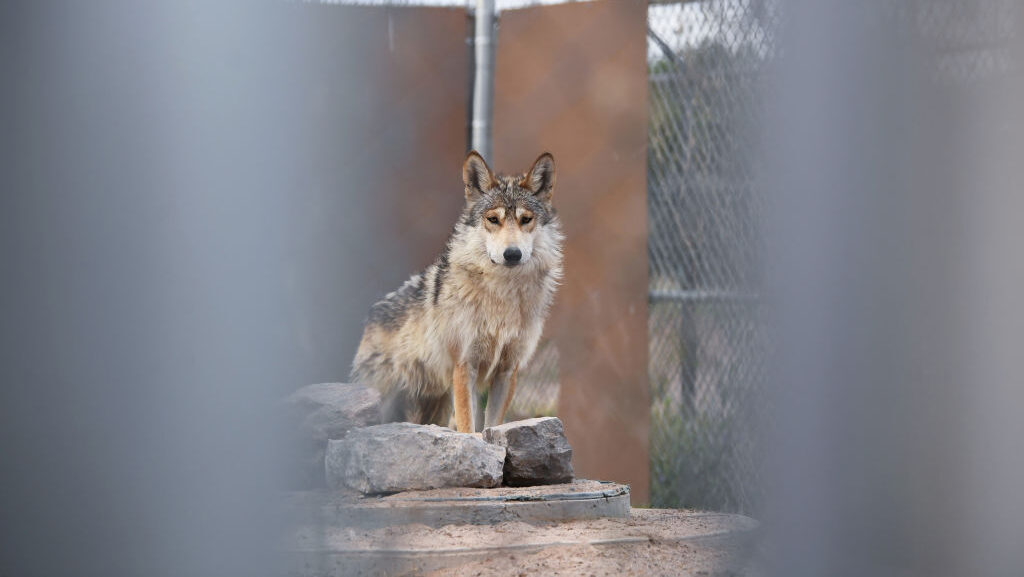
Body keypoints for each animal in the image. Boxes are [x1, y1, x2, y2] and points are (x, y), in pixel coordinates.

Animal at [350, 151, 564, 433]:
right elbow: (467, 426)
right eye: (493, 219)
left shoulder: (507, 371)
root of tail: (371, 316)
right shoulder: (464, 366)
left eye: (525, 220)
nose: (512, 254)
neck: (502, 294)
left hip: (437, 406)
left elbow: (492, 426)